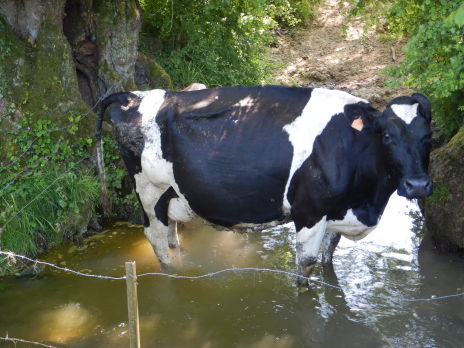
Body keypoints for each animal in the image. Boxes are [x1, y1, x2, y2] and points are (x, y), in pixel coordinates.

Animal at [96, 86, 434, 282]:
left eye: (428, 137)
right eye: (387, 135)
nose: (417, 185)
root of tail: (132, 96)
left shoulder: (337, 215)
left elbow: (329, 260)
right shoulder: (309, 213)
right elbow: (306, 268)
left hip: (172, 193)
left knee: (170, 234)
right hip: (148, 191)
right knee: (155, 238)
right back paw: (173, 276)